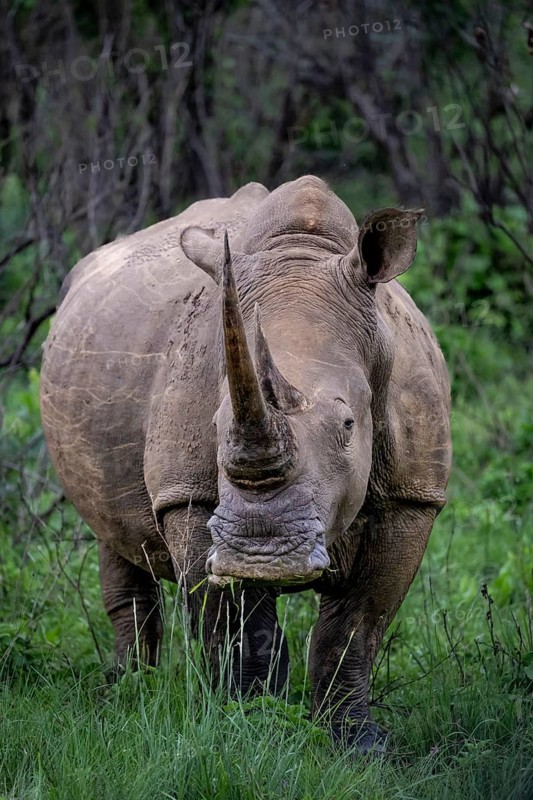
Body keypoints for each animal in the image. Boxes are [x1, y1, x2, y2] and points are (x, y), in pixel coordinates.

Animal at [40, 175, 451, 753]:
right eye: (215, 427)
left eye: (349, 427)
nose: (262, 550)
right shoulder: (189, 496)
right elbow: (235, 624)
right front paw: (252, 726)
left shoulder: (411, 497)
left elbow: (357, 625)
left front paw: (357, 743)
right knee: (113, 536)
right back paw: (124, 692)